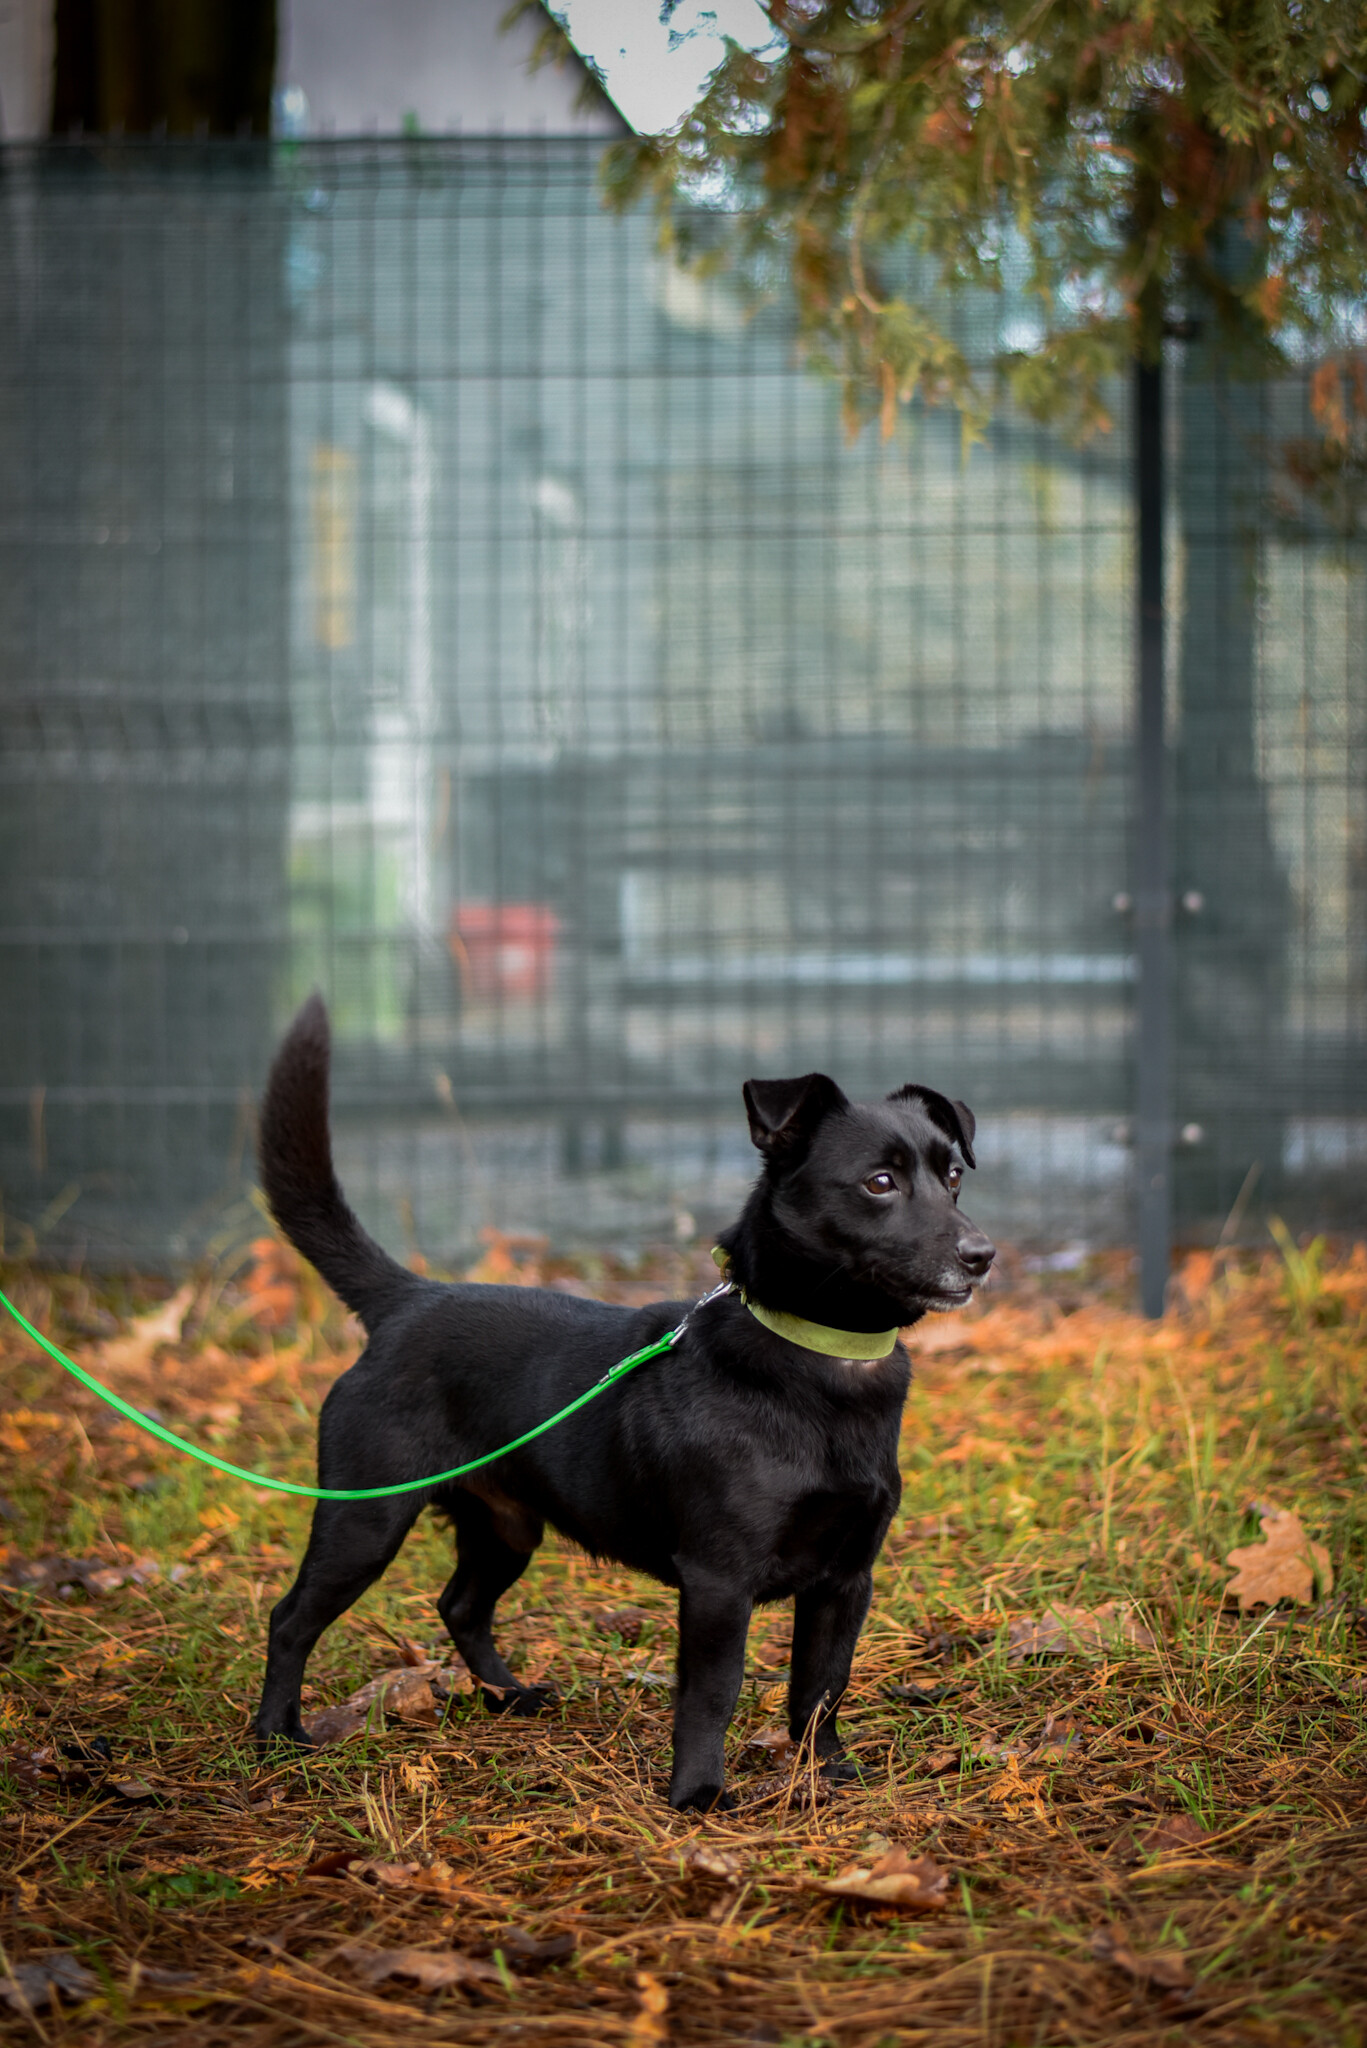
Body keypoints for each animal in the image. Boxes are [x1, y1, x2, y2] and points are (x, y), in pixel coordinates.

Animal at [253, 996, 995, 1809]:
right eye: (879, 1183)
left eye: (952, 1176)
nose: (981, 1255)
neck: (821, 1361)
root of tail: (406, 1299)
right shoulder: (718, 1582)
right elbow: (712, 1692)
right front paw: (698, 1793)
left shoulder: (846, 1579)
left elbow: (821, 1684)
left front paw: (822, 1770)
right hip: (366, 1518)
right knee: (291, 1619)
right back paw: (276, 1736)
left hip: (507, 1525)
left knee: (461, 1605)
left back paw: (507, 1696)